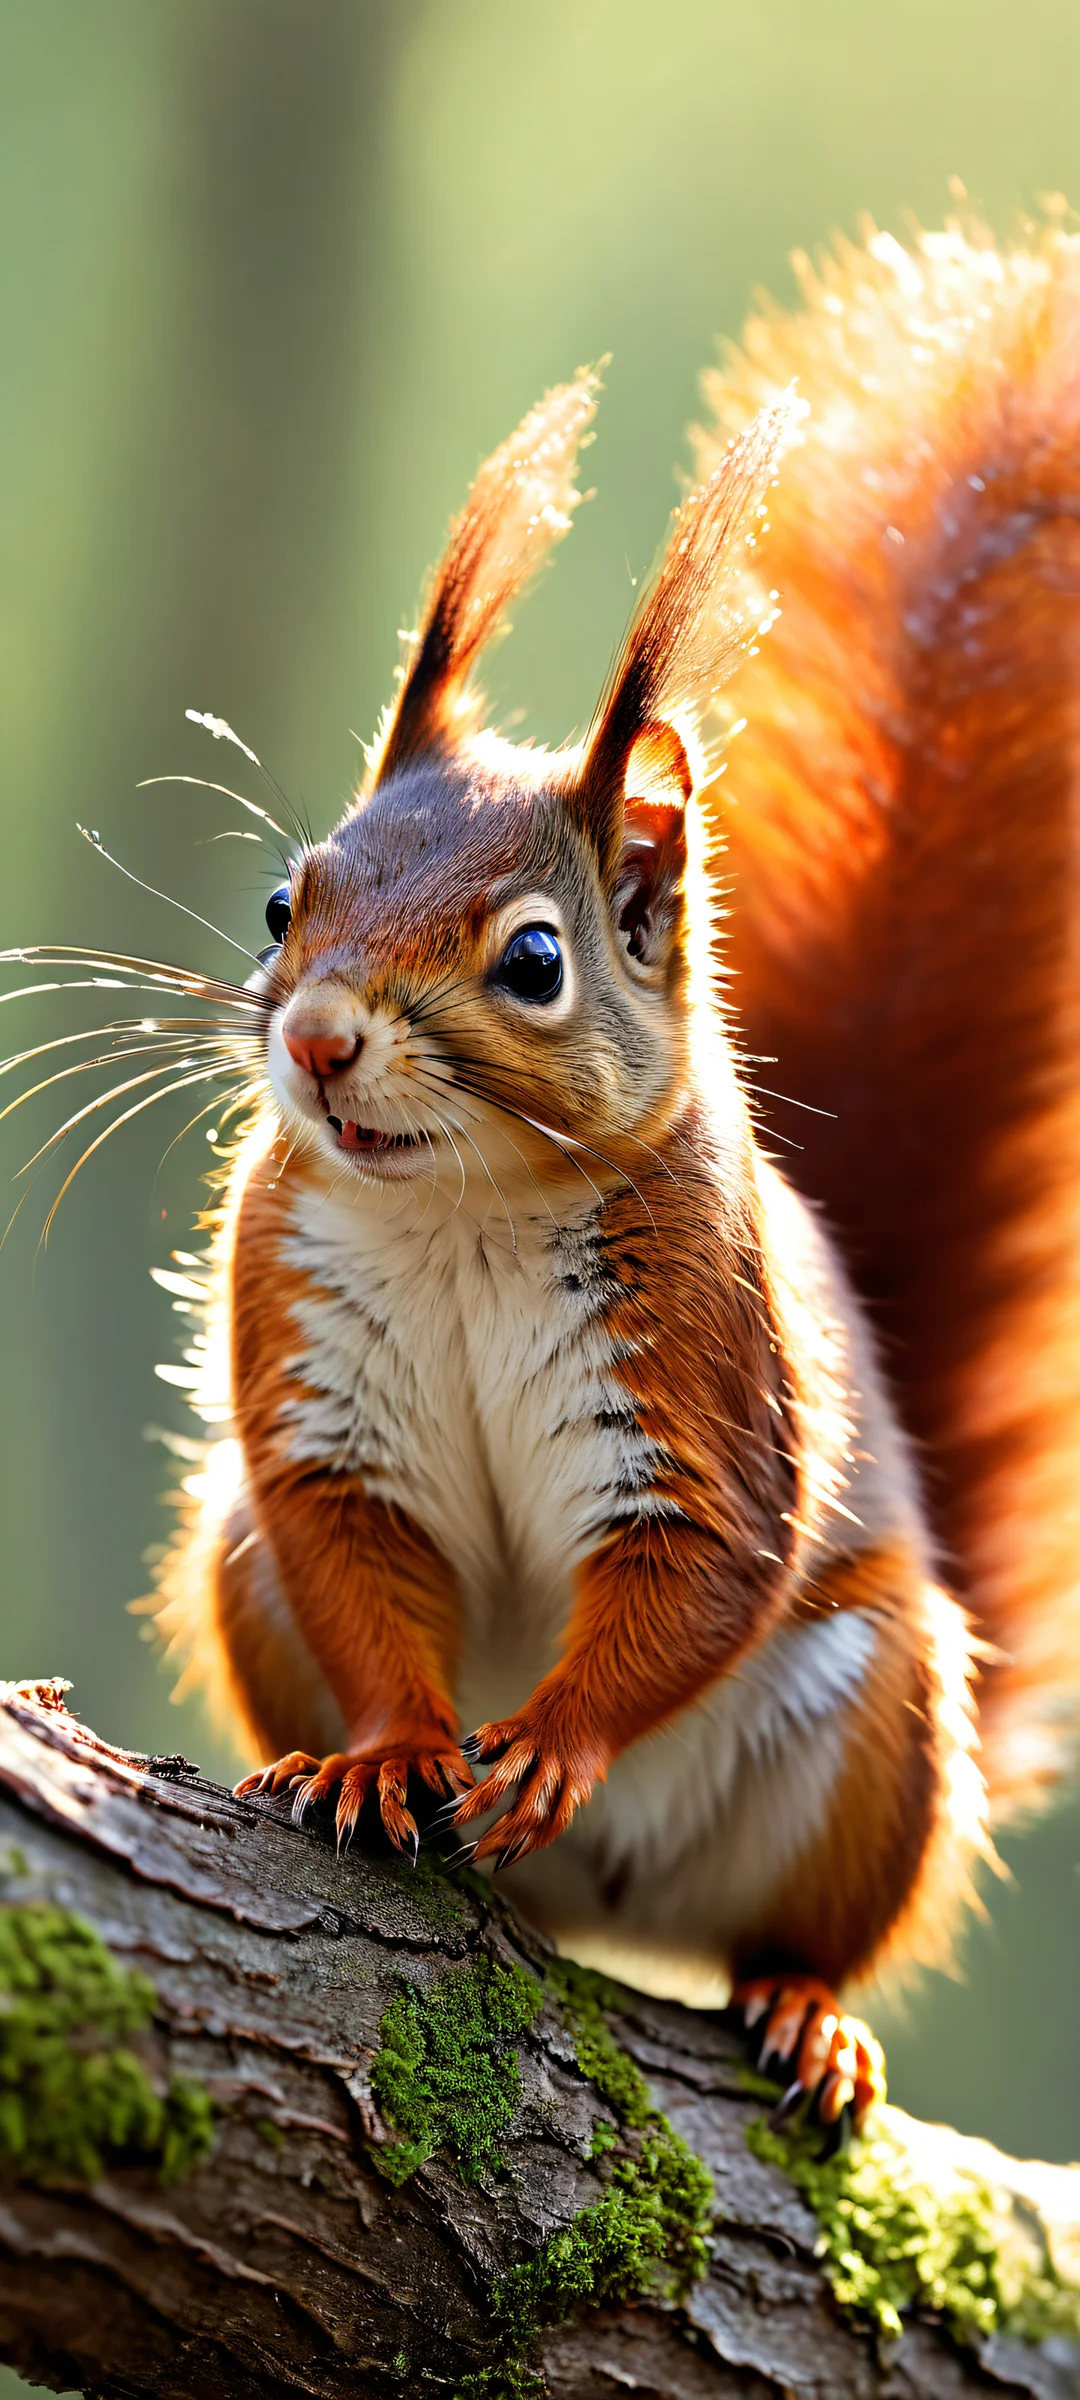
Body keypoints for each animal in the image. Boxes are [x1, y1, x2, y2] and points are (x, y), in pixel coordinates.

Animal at [19, 213, 1080, 2140]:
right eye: (284, 901)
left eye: (534, 961)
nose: (320, 1039)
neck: (458, 1210)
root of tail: (593, 1908)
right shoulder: (310, 1374)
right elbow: (353, 1550)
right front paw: (386, 1754)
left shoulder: (705, 1376)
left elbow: (704, 1567)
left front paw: (557, 1737)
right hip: (234, 1560)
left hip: (879, 1721)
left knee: (801, 1923)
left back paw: (806, 2006)